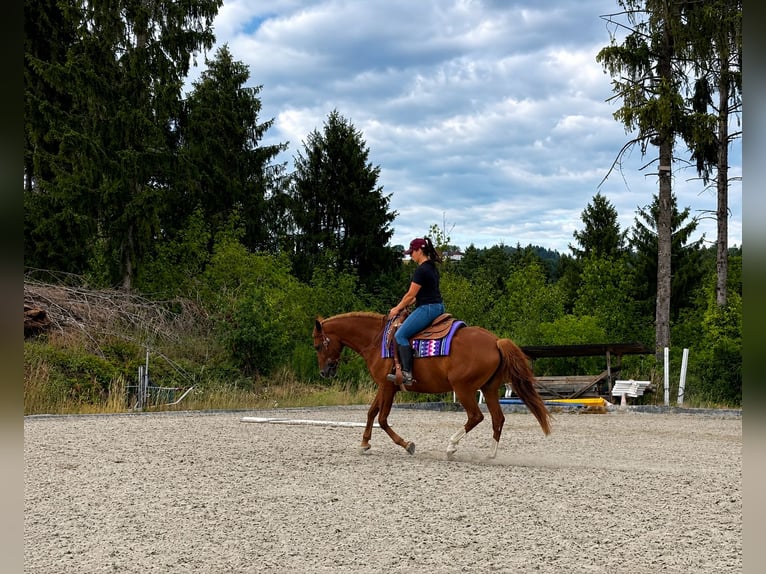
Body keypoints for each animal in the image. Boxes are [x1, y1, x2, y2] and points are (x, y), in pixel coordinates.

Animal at [312, 311, 552, 458]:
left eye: (317, 346)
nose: (324, 372)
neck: (378, 340)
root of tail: (495, 341)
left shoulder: (388, 387)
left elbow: (382, 418)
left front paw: (407, 444)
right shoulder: (384, 386)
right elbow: (371, 413)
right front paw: (364, 444)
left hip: (463, 389)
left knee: (476, 416)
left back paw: (451, 446)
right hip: (489, 389)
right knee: (497, 419)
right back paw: (491, 453)